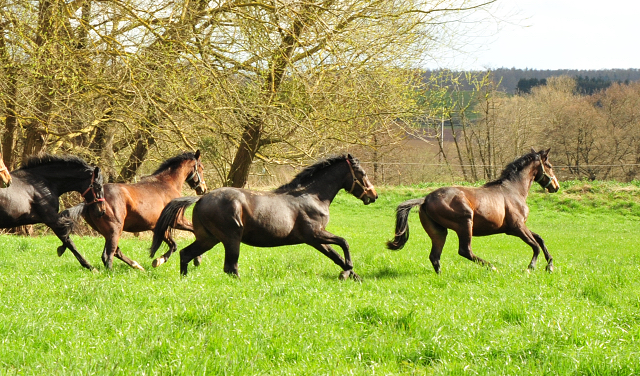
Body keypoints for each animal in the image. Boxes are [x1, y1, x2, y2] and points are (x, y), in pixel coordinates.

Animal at [61, 151, 206, 272]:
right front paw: (195, 259)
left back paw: (137, 266)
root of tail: (89, 202)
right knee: (108, 254)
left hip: (108, 232)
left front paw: (158, 261)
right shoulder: (176, 221)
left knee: (116, 252)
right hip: (115, 230)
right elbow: (188, 234)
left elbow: (173, 244)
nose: (203, 189)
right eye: (201, 167)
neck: (167, 184)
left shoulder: (158, 227)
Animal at [150, 153, 380, 280]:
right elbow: (344, 243)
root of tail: (201, 198)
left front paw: (353, 276)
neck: (312, 196)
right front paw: (347, 272)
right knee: (230, 267)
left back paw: (184, 278)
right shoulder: (315, 235)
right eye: (362, 173)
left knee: (186, 254)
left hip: (209, 239)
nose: (373, 195)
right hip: (231, 238)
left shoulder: (316, 240)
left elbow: (337, 256)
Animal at [384, 148, 560, 274]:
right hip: (465, 223)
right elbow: (535, 245)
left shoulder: (515, 228)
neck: (513, 190)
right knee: (465, 251)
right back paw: (492, 267)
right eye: (550, 166)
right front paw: (531, 268)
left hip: (439, 231)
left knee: (435, 256)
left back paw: (441, 276)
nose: (556, 186)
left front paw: (550, 266)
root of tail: (426, 199)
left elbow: (540, 239)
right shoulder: (517, 227)